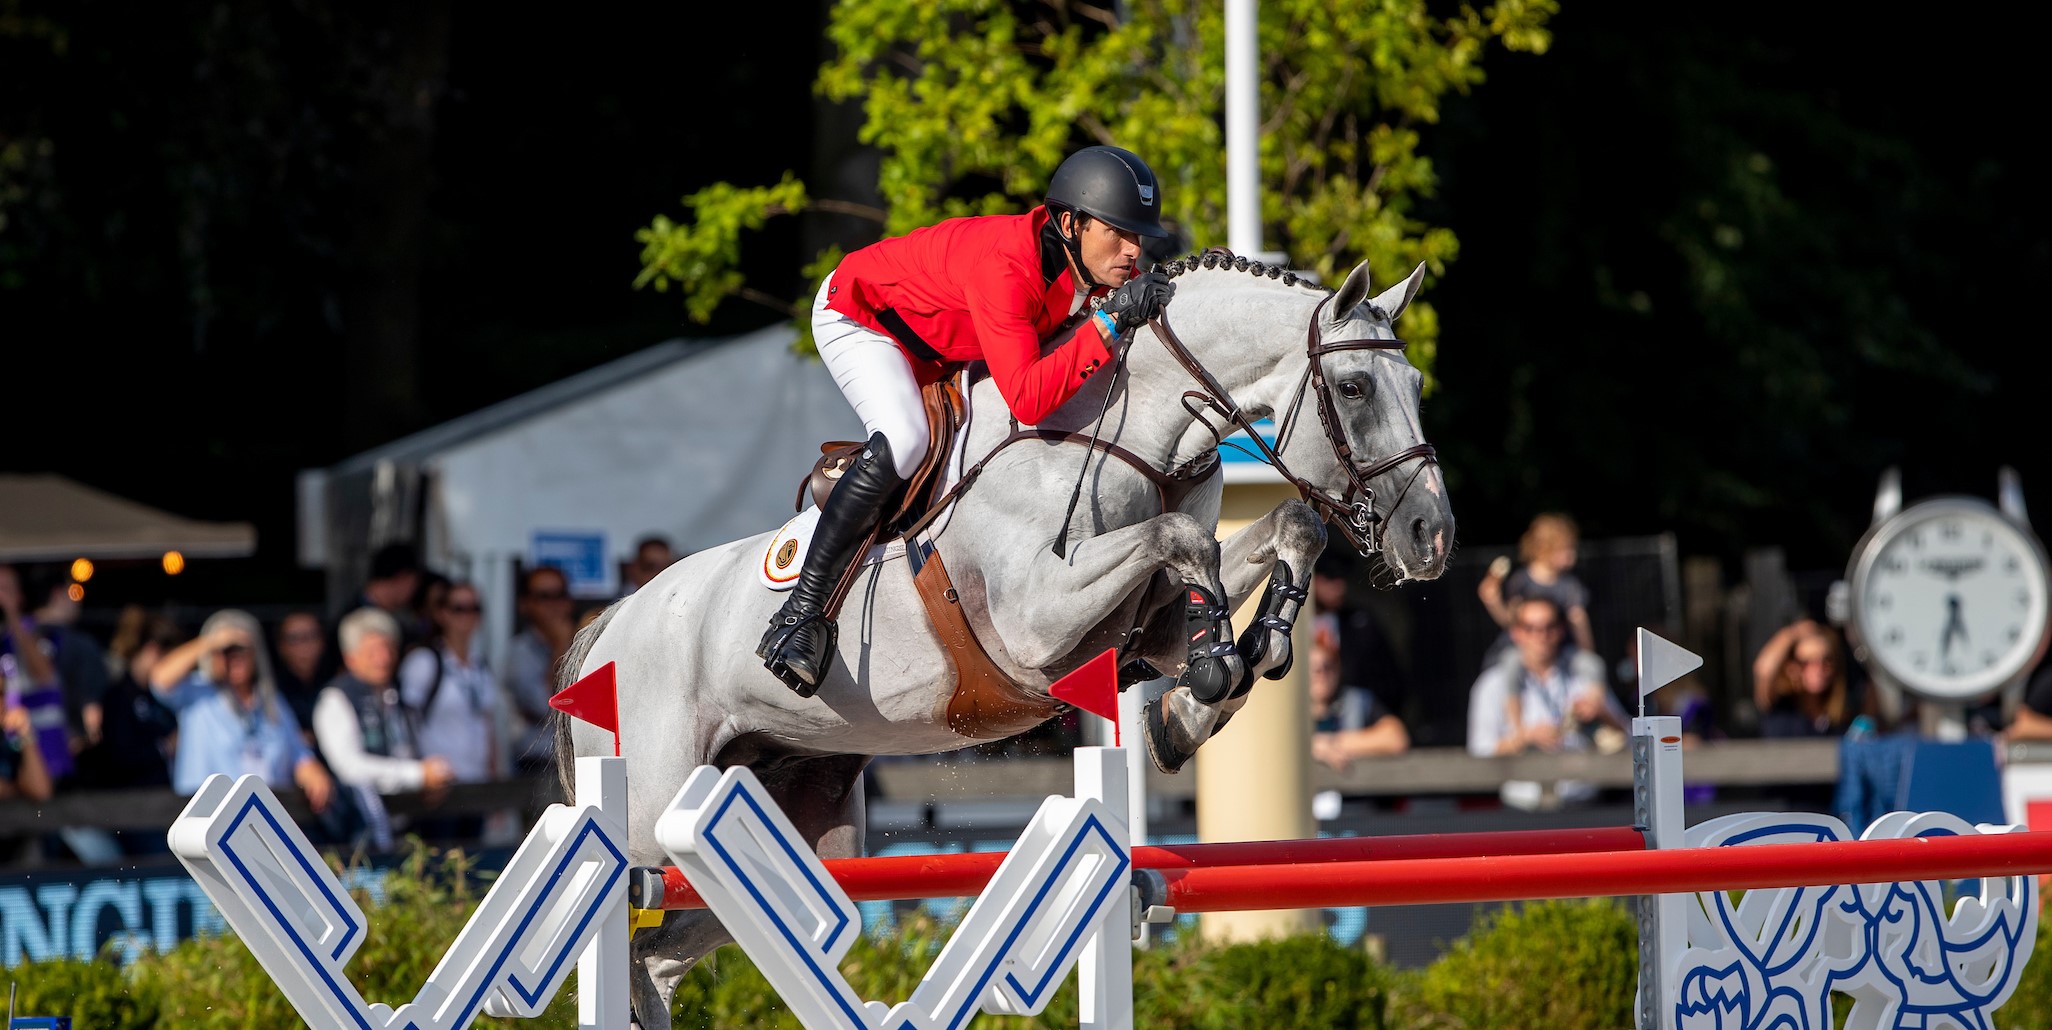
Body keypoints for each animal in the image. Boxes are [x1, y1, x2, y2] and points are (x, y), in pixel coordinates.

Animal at [554, 253, 1452, 1025]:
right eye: (1354, 387)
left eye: (1414, 383)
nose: (1432, 537)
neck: (1128, 438)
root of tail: (610, 624)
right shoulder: (1035, 626)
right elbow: (1182, 539)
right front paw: (1210, 676)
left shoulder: (1144, 623)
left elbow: (1289, 525)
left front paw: (1215, 687)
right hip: (652, 823)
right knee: (627, 937)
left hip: (777, 830)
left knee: (661, 959)